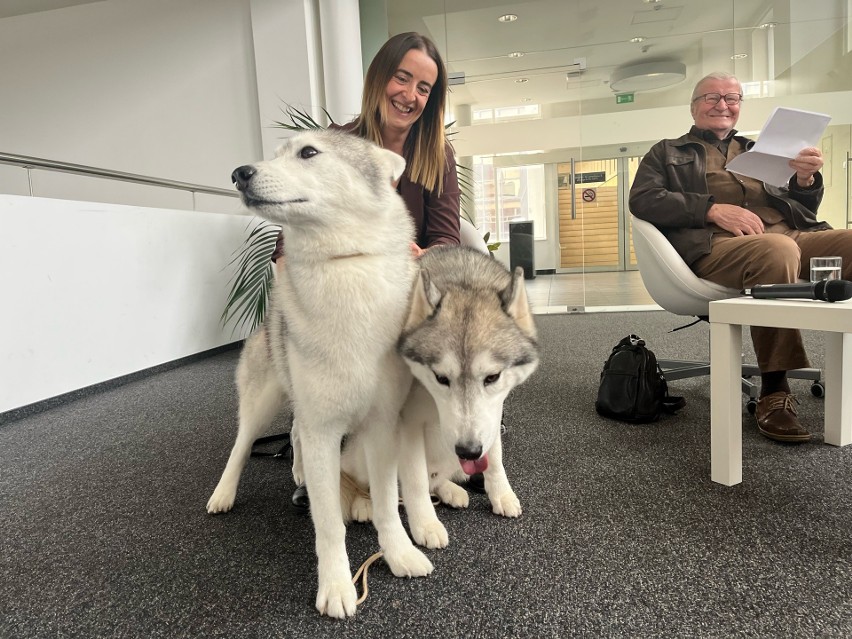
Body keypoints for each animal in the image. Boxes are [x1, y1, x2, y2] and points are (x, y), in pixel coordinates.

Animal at [206, 129, 432, 620]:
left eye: (308, 152)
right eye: (274, 154)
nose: (238, 173)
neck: (344, 262)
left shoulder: (381, 426)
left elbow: (387, 506)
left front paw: (399, 553)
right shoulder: (324, 431)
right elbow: (329, 525)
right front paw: (335, 586)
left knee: (293, 433)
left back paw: (296, 470)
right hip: (263, 401)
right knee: (242, 445)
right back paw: (225, 493)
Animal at [334, 248, 540, 548]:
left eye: (492, 377)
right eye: (441, 377)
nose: (468, 451)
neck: (464, 278)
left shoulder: (491, 416)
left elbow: (495, 459)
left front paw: (501, 494)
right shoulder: (407, 425)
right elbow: (416, 481)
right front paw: (425, 524)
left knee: (436, 477)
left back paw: (451, 490)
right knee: (362, 478)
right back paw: (364, 502)